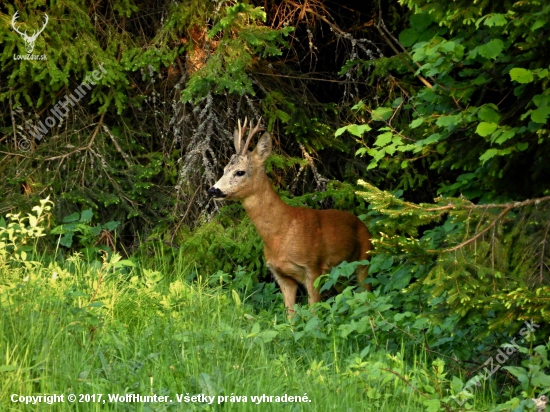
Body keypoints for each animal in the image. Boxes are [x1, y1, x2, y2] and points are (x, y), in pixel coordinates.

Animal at [210, 119, 376, 312]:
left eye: (240, 172)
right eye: (223, 170)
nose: (213, 190)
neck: (282, 232)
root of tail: (363, 224)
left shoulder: (313, 267)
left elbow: (313, 312)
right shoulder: (281, 275)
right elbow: (290, 315)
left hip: (364, 259)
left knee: (367, 292)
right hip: (340, 274)